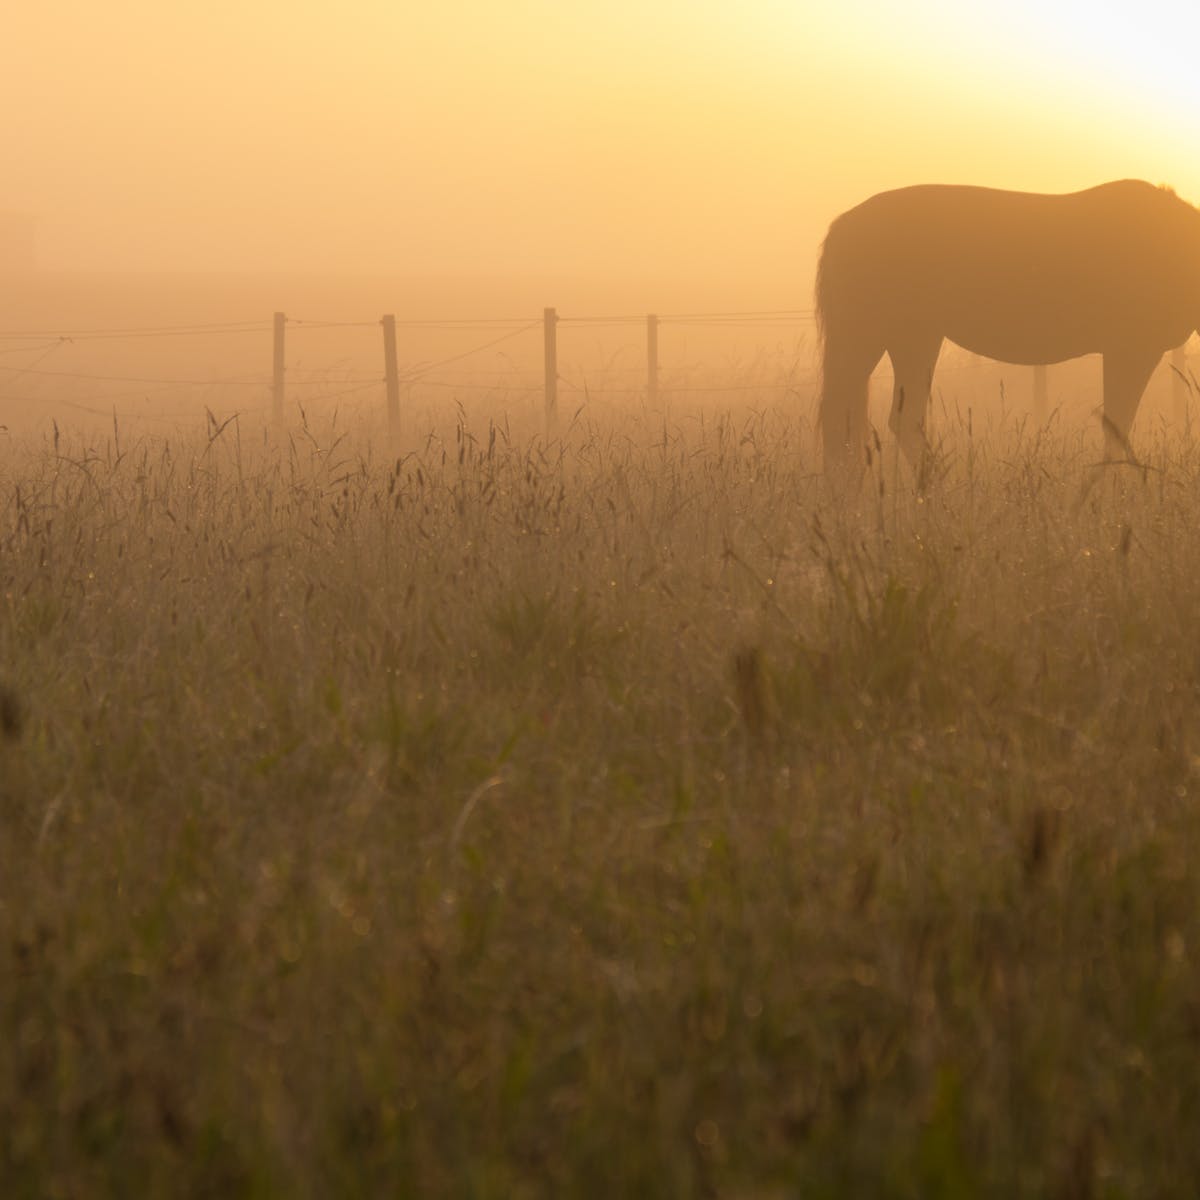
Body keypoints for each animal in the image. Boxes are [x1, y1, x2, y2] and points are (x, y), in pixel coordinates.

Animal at [816, 180, 1200, 470]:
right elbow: (1117, 429)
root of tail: (842, 226)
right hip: (875, 339)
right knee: (856, 423)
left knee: (887, 422)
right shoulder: (1133, 350)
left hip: (909, 340)